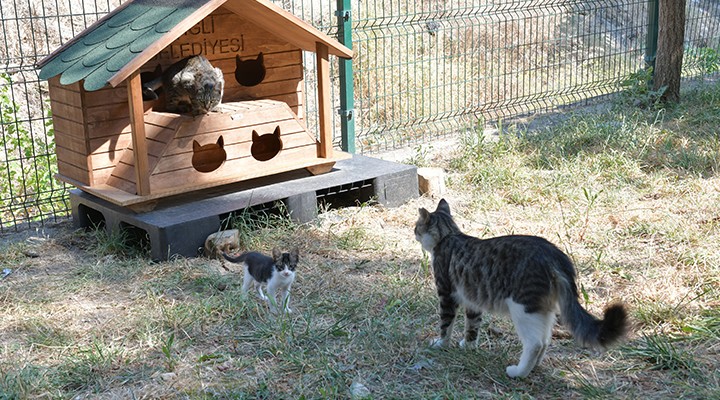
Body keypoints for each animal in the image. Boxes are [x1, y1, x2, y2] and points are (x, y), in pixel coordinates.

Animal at [414, 200, 628, 378]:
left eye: (416, 226)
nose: (414, 232)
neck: (449, 235)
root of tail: (554, 255)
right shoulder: (472, 301)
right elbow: (472, 327)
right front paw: (468, 346)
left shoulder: (446, 294)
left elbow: (445, 325)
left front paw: (441, 344)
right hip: (543, 311)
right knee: (545, 340)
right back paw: (534, 367)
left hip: (523, 309)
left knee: (535, 343)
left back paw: (518, 372)